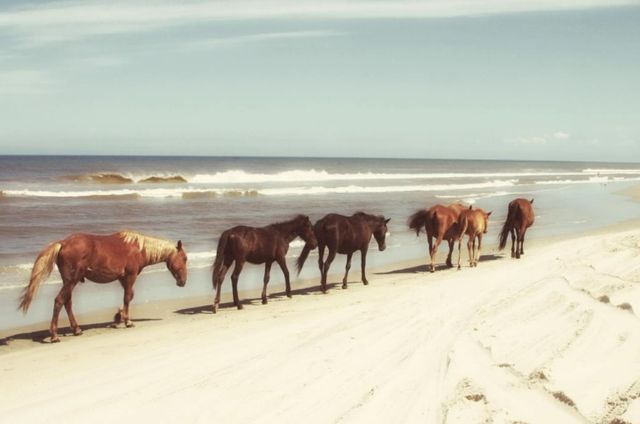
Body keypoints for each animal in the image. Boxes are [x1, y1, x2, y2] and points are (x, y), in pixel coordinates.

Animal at [19, 231, 187, 343]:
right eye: (184, 258)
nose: (183, 281)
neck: (139, 249)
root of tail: (63, 243)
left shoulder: (122, 278)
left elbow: (128, 296)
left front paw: (118, 317)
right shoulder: (130, 276)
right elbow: (128, 297)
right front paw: (127, 321)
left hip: (69, 282)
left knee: (67, 302)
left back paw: (76, 329)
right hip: (71, 281)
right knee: (60, 301)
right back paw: (54, 335)